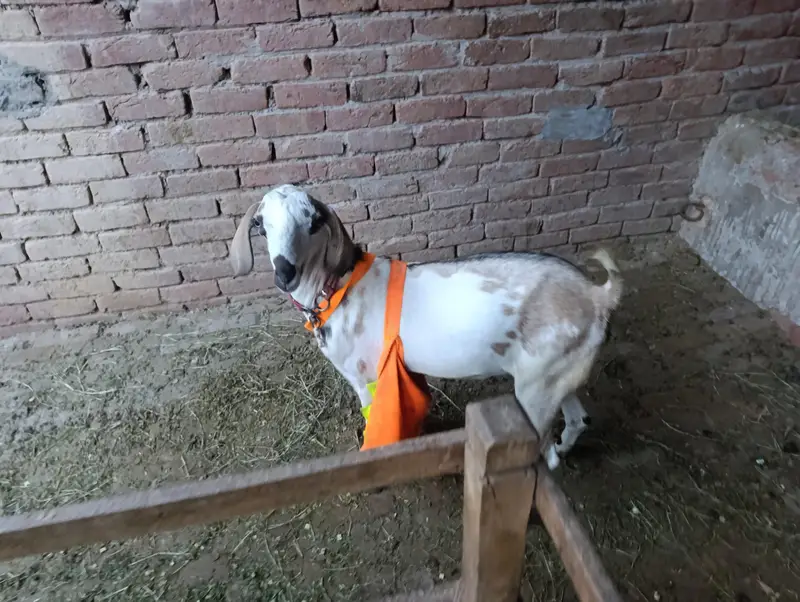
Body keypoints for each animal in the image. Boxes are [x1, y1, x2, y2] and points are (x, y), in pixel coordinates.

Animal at [230, 184, 623, 469]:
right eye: (260, 224)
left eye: (313, 222)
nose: (285, 272)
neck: (337, 288)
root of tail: (597, 295)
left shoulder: (364, 375)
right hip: (553, 374)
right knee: (578, 420)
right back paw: (565, 446)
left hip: (535, 388)